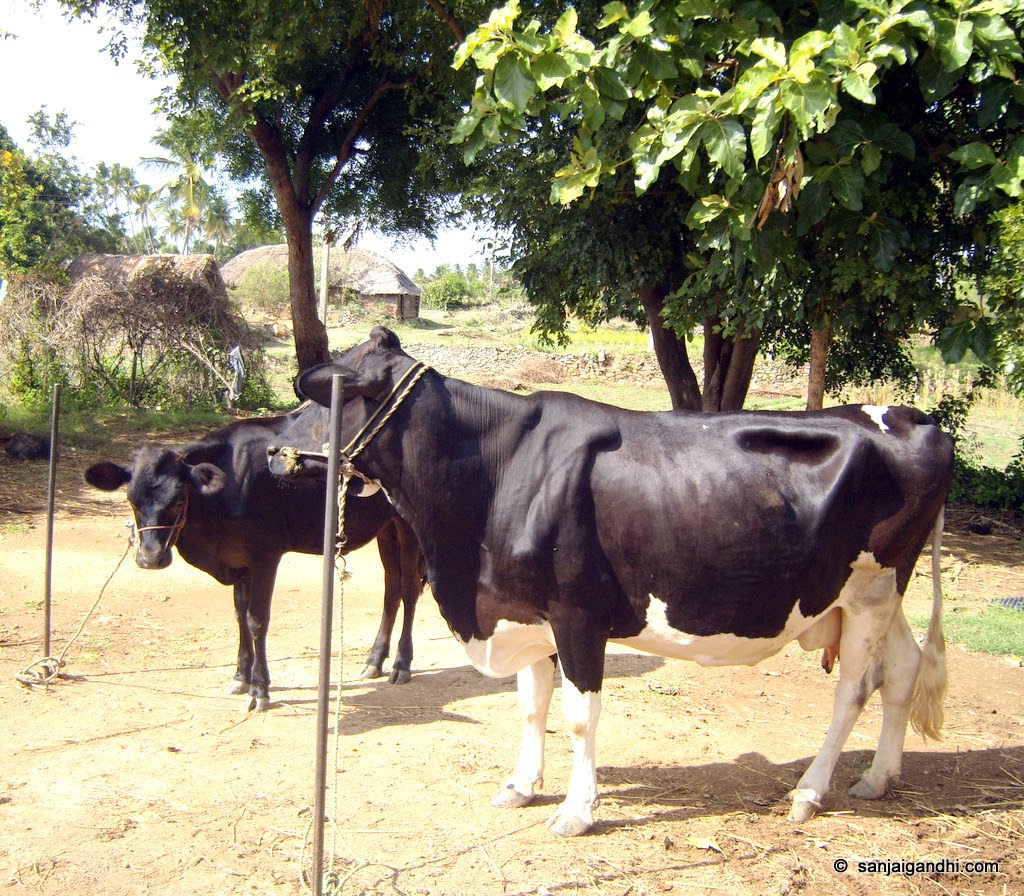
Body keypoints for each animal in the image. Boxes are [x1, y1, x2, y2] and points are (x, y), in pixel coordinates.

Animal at [85, 402, 425, 711]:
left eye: (180, 497)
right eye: (131, 499)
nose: (150, 558)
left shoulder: (265, 555)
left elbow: (256, 619)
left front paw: (260, 689)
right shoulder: (238, 559)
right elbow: (239, 615)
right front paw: (240, 676)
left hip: (408, 525)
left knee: (408, 589)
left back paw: (401, 663)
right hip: (386, 528)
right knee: (392, 588)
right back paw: (374, 660)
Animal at [271, 326, 953, 836]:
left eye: (322, 401)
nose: (272, 452)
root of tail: (914, 417)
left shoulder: (578, 613)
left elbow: (578, 715)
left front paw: (576, 811)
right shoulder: (526, 610)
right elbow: (531, 705)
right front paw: (522, 786)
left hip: (871, 588)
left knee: (855, 689)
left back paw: (810, 792)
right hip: (876, 594)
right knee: (902, 670)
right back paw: (877, 778)